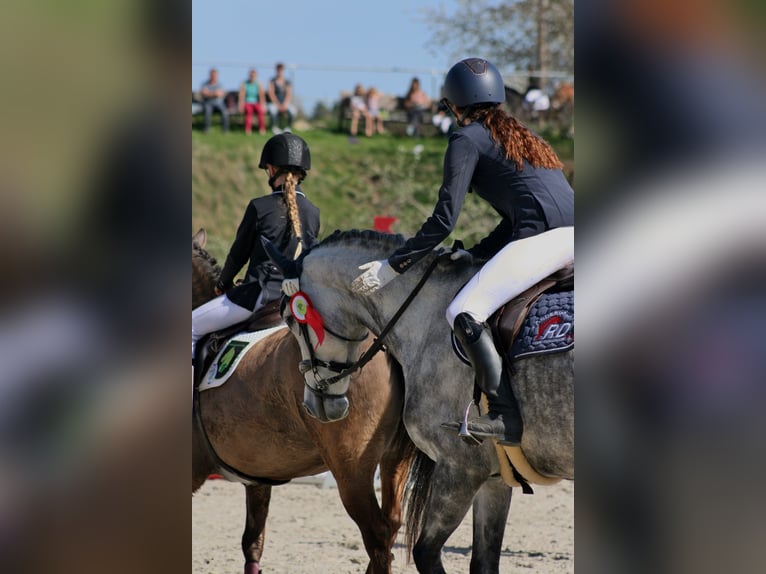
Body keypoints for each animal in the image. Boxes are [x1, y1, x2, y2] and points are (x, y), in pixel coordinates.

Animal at [195, 231, 416, 574]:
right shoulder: (259, 476)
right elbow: (253, 542)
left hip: (351, 468)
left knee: (377, 534)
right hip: (394, 459)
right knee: (391, 524)